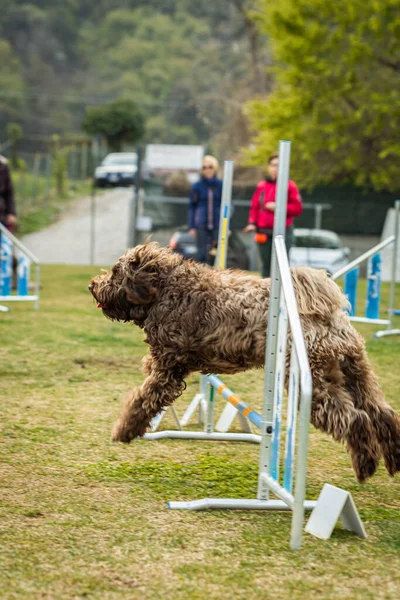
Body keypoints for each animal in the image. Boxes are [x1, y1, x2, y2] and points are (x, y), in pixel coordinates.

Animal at [89, 241, 400, 480]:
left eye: (116, 273)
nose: (93, 285)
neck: (167, 289)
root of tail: (327, 315)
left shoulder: (167, 371)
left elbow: (142, 400)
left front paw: (124, 430)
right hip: (355, 370)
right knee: (382, 414)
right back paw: (394, 459)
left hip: (312, 383)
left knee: (355, 419)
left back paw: (365, 465)